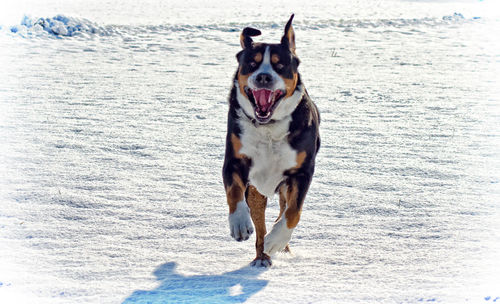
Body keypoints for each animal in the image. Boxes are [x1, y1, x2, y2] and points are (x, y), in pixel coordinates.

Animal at [223, 14, 320, 268]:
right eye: (252, 63)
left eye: (280, 65)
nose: (264, 76)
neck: (268, 129)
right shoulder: (235, 160)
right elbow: (234, 192)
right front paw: (239, 223)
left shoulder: (300, 173)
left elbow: (293, 213)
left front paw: (276, 240)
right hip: (257, 192)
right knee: (260, 227)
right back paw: (261, 257)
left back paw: (278, 247)